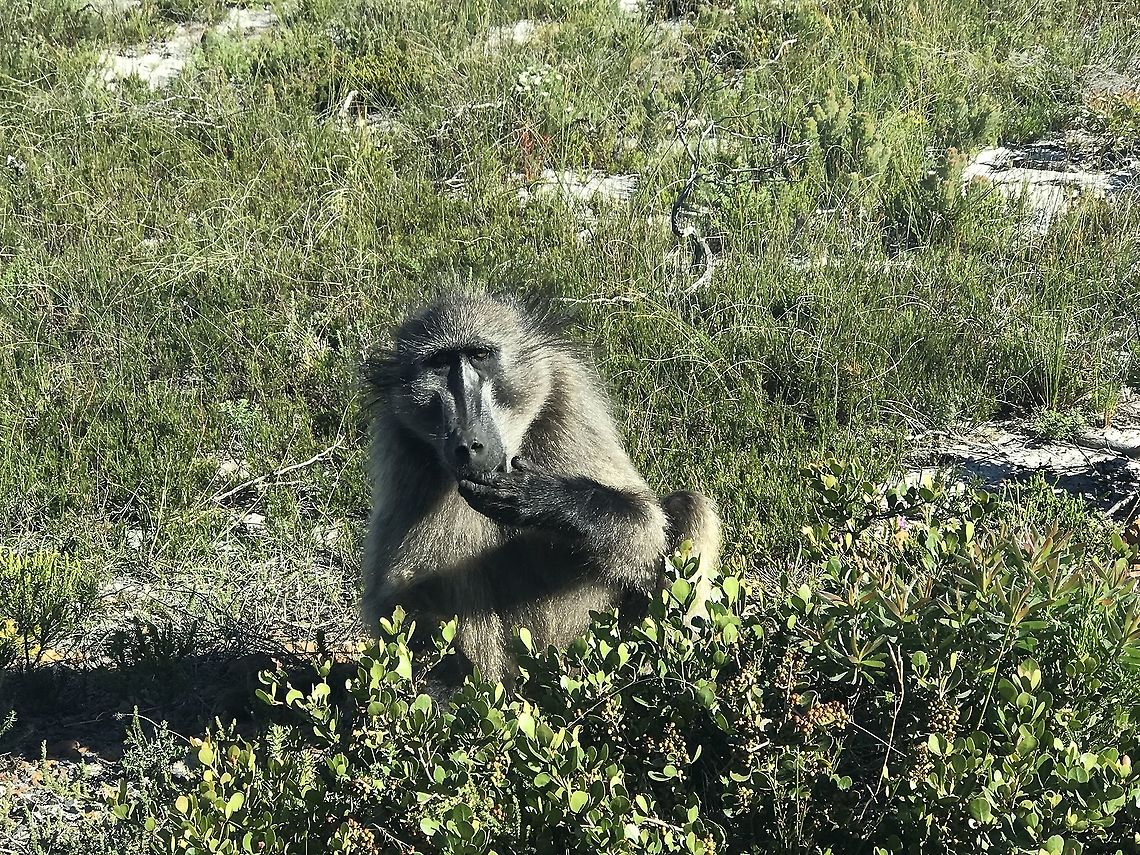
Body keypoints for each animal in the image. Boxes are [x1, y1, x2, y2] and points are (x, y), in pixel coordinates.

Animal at [360, 291, 721, 686]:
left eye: (480, 355)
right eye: (439, 362)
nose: (468, 444)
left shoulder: (566, 397)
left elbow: (646, 528)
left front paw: (542, 499)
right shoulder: (402, 448)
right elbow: (395, 596)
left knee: (689, 506)